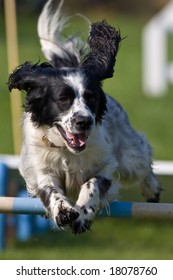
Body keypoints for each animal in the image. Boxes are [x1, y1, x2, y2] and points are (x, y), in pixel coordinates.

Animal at [7, 0, 161, 234]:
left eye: (91, 98)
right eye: (63, 99)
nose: (84, 121)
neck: (67, 151)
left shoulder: (106, 164)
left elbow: (92, 184)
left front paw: (83, 214)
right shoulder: (39, 168)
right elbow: (50, 189)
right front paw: (63, 211)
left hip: (129, 157)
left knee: (142, 160)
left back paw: (152, 189)